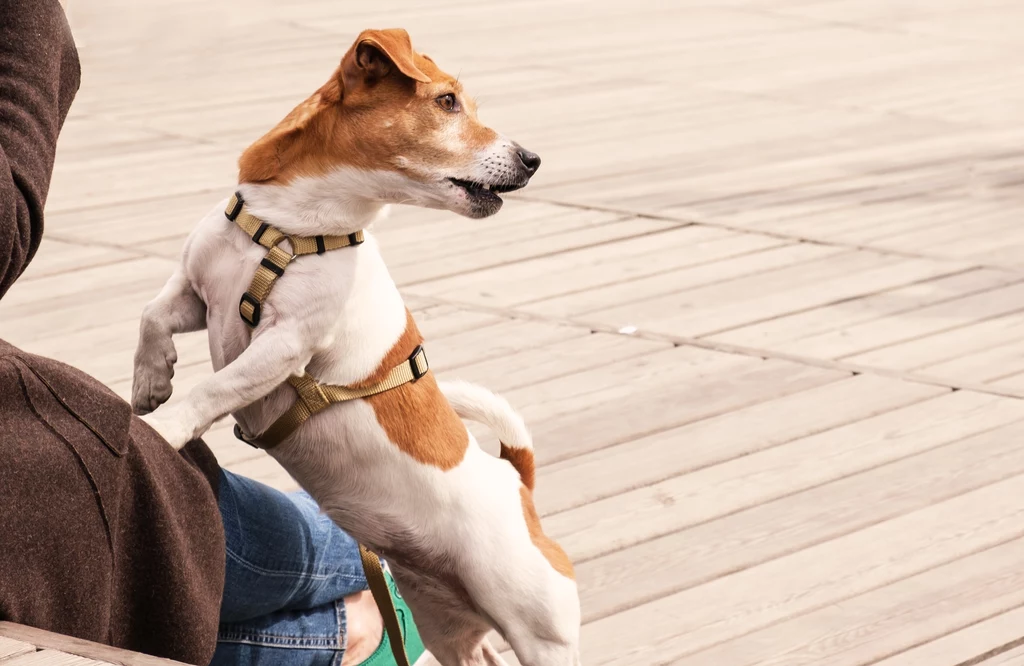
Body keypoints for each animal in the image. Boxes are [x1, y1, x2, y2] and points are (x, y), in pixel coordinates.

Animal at [134, 28, 585, 659]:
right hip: (446, 625)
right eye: (448, 102)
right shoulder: (198, 294)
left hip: (542, 631)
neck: (292, 225)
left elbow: (212, 389)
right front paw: (151, 380)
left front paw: (163, 428)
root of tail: (519, 486)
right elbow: (153, 316)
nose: (532, 159)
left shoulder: (284, 343)